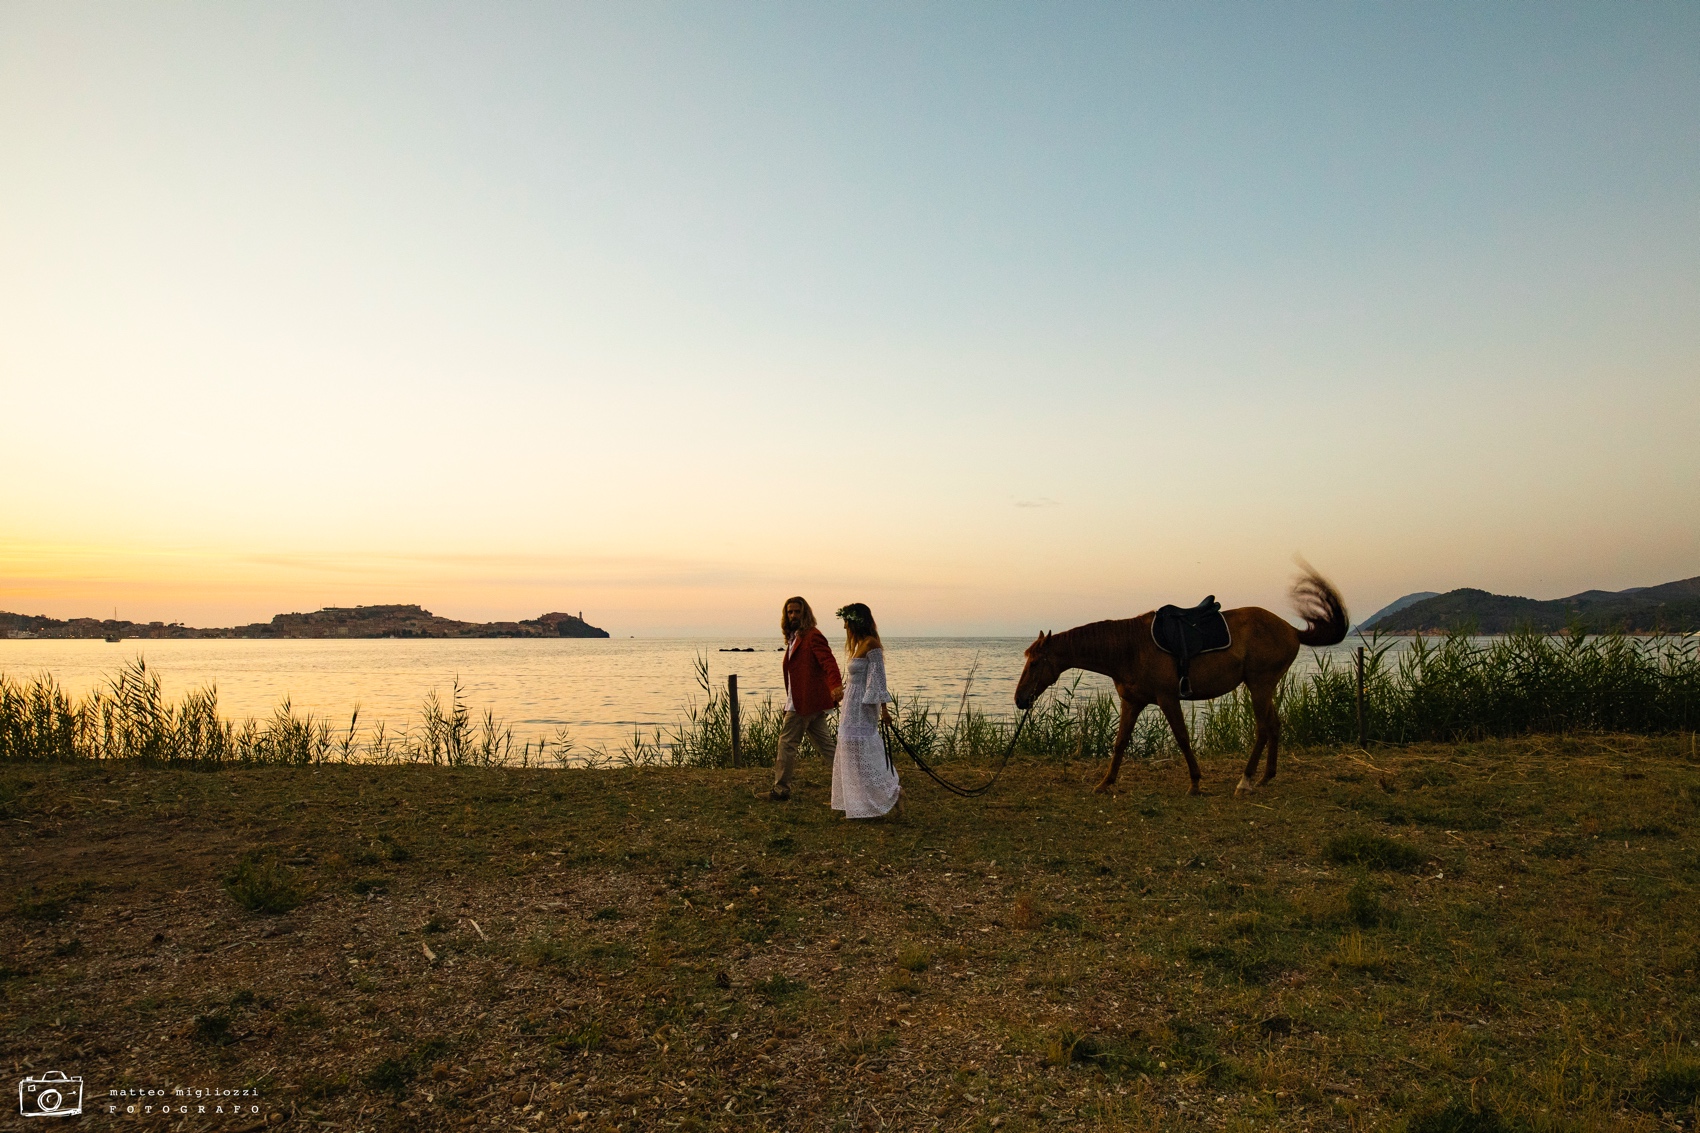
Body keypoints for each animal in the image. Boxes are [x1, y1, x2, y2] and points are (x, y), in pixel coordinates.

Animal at [1013, 564, 1346, 792]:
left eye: (1035, 662)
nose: (1019, 699)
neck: (1129, 647)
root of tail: (1291, 629)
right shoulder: (1132, 702)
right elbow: (1120, 743)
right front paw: (1105, 783)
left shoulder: (1167, 698)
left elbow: (1183, 738)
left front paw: (1195, 782)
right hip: (1264, 686)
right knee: (1274, 726)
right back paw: (1265, 777)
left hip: (1259, 685)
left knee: (1263, 728)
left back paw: (1245, 780)